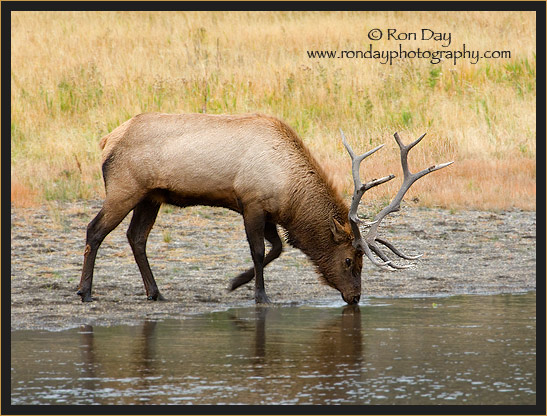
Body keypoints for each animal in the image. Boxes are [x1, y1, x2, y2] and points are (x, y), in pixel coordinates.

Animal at [78, 112, 454, 304]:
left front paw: (234, 282)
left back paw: (155, 292)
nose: (355, 297)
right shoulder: (252, 202)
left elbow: (278, 248)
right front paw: (259, 294)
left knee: (136, 237)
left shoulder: (272, 213)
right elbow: (260, 251)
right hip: (124, 188)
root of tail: (106, 140)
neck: (289, 193)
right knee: (94, 230)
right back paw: (85, 291)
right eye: (350, 260)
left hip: (151, 196)